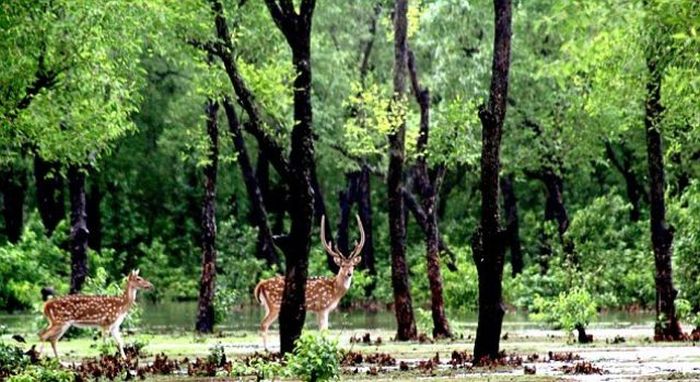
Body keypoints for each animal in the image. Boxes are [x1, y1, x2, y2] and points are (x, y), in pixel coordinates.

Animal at [256, 213, 366, 348]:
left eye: (353, 265)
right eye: (342, 265)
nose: (349, 274)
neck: (335, 290)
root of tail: (261, 284)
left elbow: (323, 331)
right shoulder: (322, 307)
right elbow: (324, 331)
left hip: (268, 305)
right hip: (274, 304)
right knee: (264, 324)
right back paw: (266, 349)